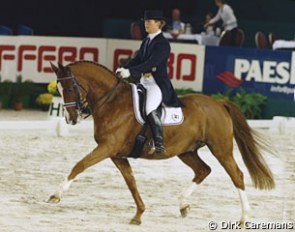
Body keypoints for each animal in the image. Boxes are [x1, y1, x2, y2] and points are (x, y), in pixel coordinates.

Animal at [47, 61, 276, 225]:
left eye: (69, 88)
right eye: (58, 89)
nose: (70, 119)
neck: (111, 101)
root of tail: (219, 103)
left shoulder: (107, 148)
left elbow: (80, 165)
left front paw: (55, 195)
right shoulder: (116, 154)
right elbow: (131, 182)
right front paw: (139, 214)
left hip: (221, 149)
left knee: (236, 175)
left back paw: (244, 218)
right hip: (186, 151)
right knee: (203, 170)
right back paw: (183, 205)